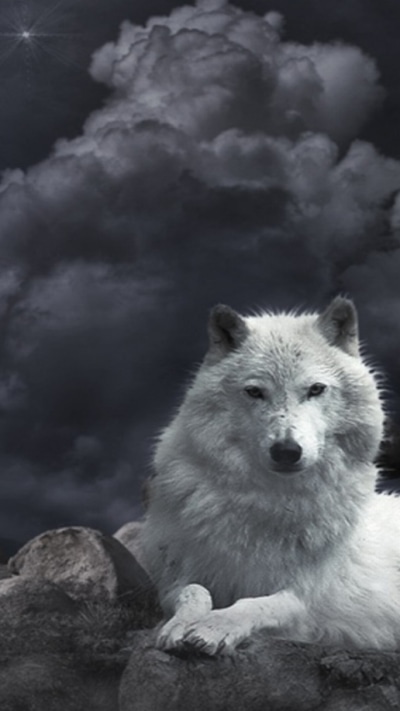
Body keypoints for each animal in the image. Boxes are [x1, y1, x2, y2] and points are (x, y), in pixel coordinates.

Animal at [141, 296, 400, 655]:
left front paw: (214, 627)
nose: (287, 450)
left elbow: (258, 603)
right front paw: (181, 625)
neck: (271, 502)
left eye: (316, 389)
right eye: (254, 392)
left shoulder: (306, 601)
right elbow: (194, 592)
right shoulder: (172, 580)